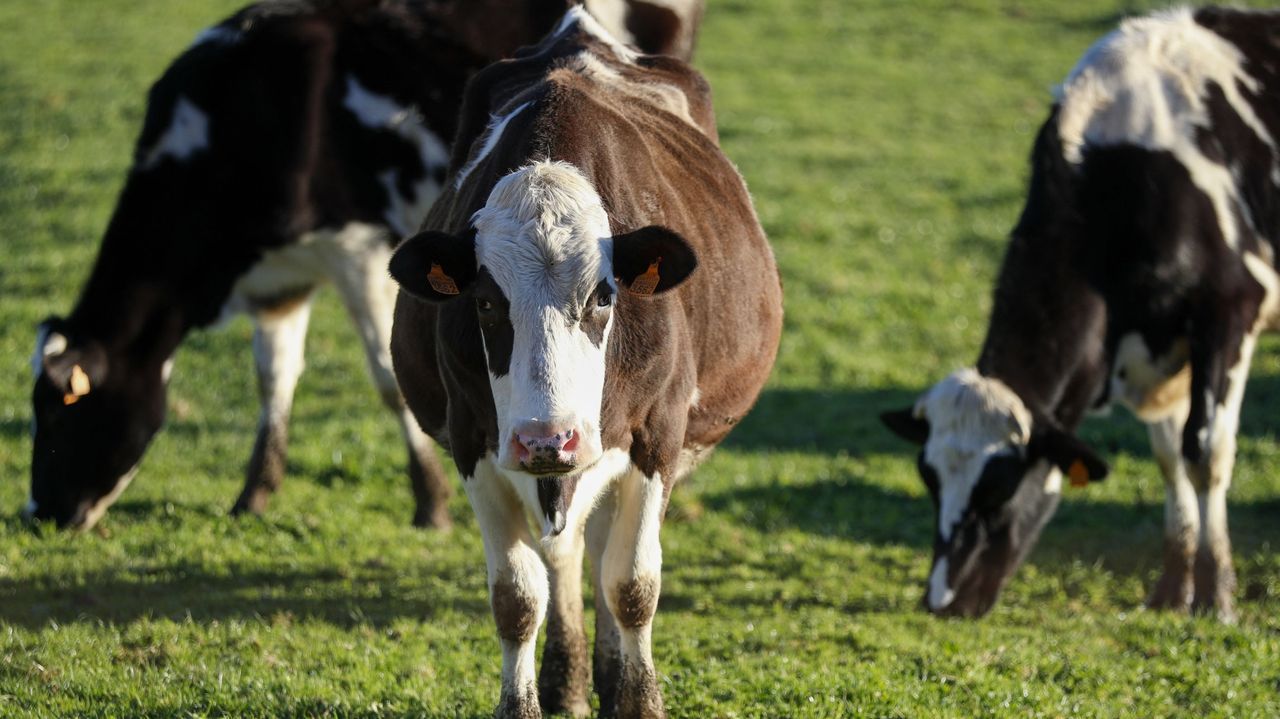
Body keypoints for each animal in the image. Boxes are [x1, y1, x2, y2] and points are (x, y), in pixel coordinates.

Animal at [384, 8, 778, 711]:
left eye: (602, 295)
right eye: (486, 301)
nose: (548, 438)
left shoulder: (658, 434)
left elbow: (632, 585)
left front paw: (640, 701)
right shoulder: (473, 438)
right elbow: (517, 597)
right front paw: (526, 703)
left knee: (598, 549)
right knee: (568, 552)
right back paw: (570, 682)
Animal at [885, 5, 1274, 619]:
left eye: (1000, 487)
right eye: (929, 478)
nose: (941, 600)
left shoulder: (1229, 313)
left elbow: (1205, 450)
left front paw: (1218, 596)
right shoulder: (1157, 348)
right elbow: (1169, 456)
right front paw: (1172, 588)